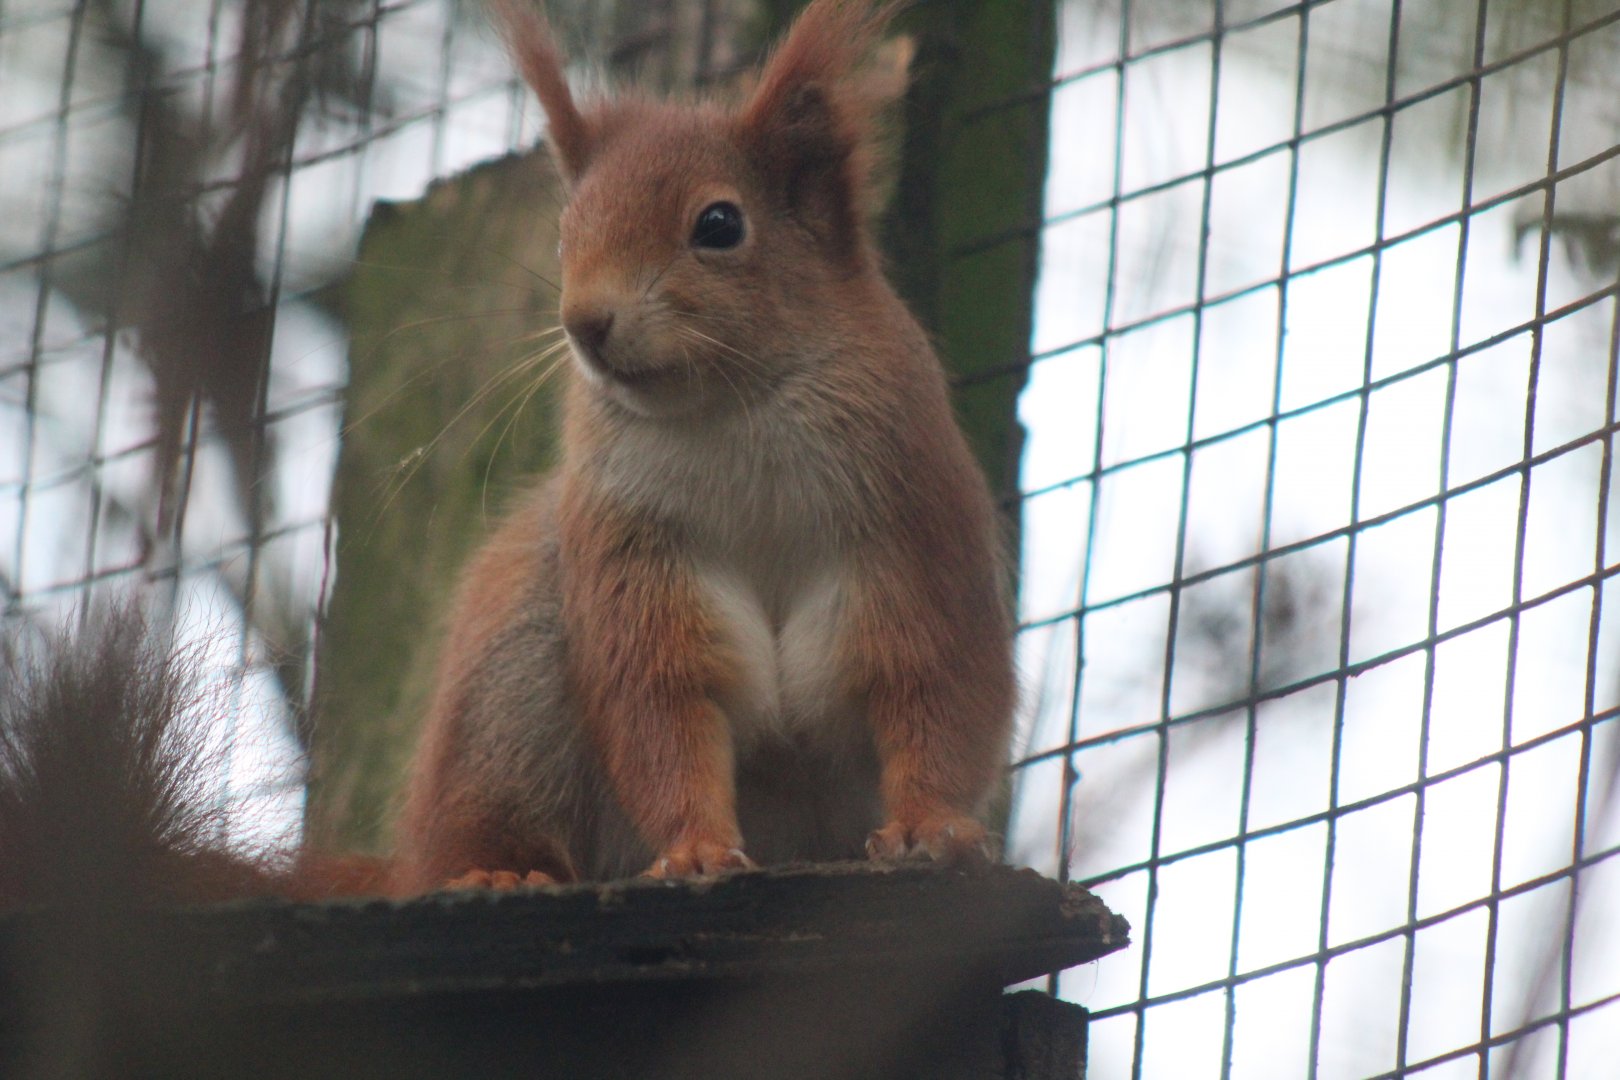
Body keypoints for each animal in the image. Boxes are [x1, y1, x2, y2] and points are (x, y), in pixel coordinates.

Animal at [0, 0, 1014, 906]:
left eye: (721, 226)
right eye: (567, 233)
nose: (586, 323)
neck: (729, 419)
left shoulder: (909, 525)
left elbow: (931, 684)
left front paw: (930, 826)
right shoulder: (627, 553)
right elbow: (661, 705)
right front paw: (693, 848)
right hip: (515, 682)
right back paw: (499, 871)